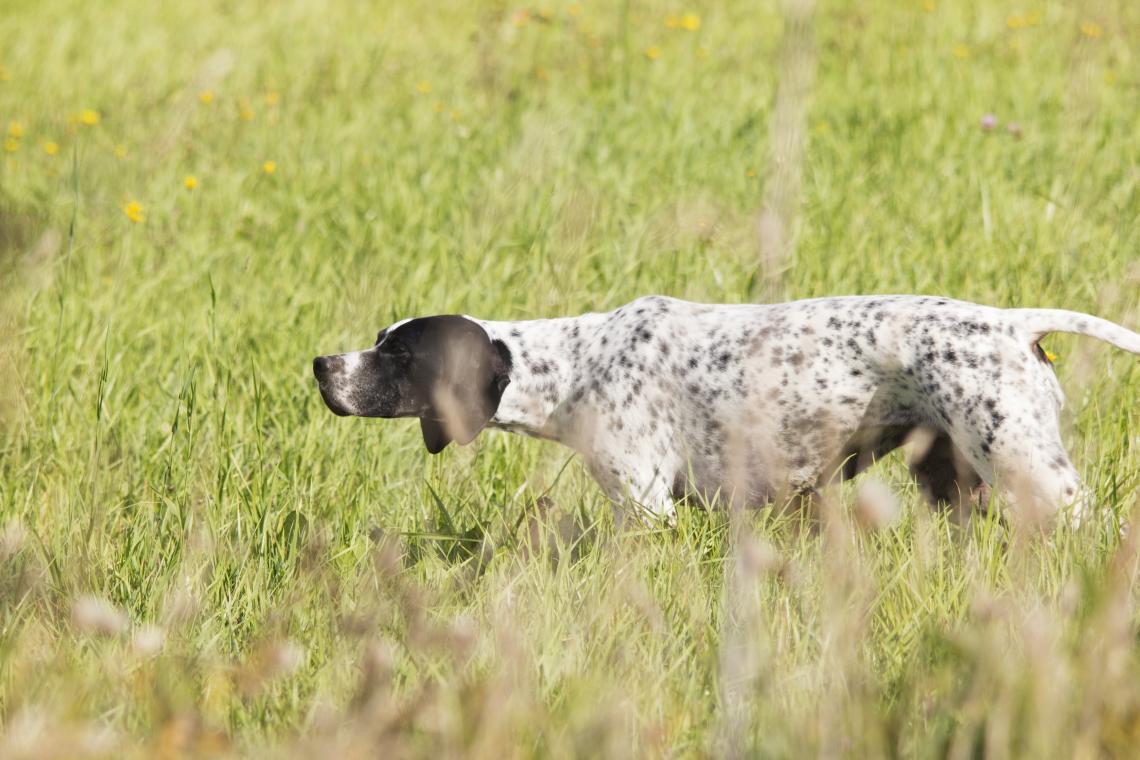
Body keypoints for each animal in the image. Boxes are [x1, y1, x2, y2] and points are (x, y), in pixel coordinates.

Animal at [314, 296, 1140, 524]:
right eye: (379, 340)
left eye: (397, 355)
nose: (320, 365)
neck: (575, 364)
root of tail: (1013, 324)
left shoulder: (647, 510)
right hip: (956, 480)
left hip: (1032, 472)